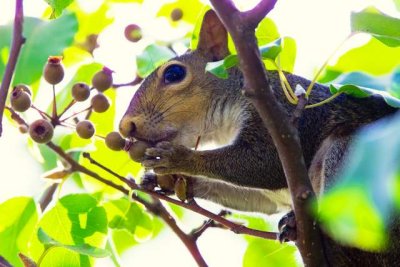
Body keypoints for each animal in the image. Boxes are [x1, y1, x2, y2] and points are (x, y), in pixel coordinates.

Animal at [119, 9, 400, 266]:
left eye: (174, 74)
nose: (125, 127)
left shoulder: (285, 114)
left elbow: (266, 164)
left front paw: (178, 158)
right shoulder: (267, 196)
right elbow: (256, 197)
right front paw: (173, 181)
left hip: (356, 161)